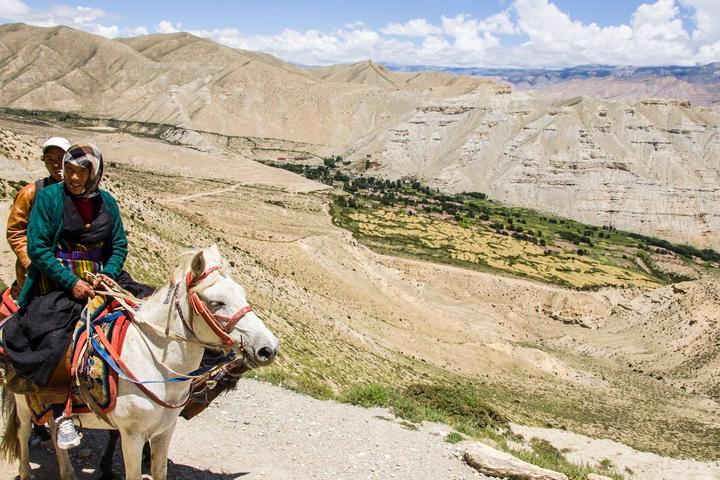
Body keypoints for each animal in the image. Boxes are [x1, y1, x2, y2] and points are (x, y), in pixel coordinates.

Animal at [0, 246, 278, 478]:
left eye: (243, 294)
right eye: (216, 303)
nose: (269, 348)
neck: (154, 366)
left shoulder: (165, 432)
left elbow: (159, 471)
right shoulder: (132, 436)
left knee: (53, 422)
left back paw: (67, 472)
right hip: (22, 399)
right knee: (24, 430)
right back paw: (27, 472)